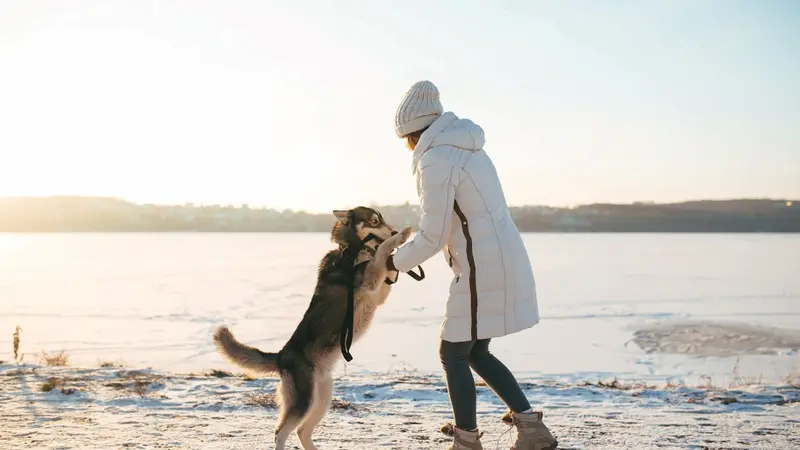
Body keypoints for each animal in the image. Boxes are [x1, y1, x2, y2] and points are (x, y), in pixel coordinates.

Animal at [212, 207, 412, 450]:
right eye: (374, 221)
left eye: (382, 219)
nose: (392, 229)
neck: (351, 249)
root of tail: (282, 356)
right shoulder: (369, 280)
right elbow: (382, 250)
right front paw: (400, 237)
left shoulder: (379, 292)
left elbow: (386, 267)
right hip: (303, 401)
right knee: (280, 432)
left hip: (321, 399)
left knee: (302, 431)